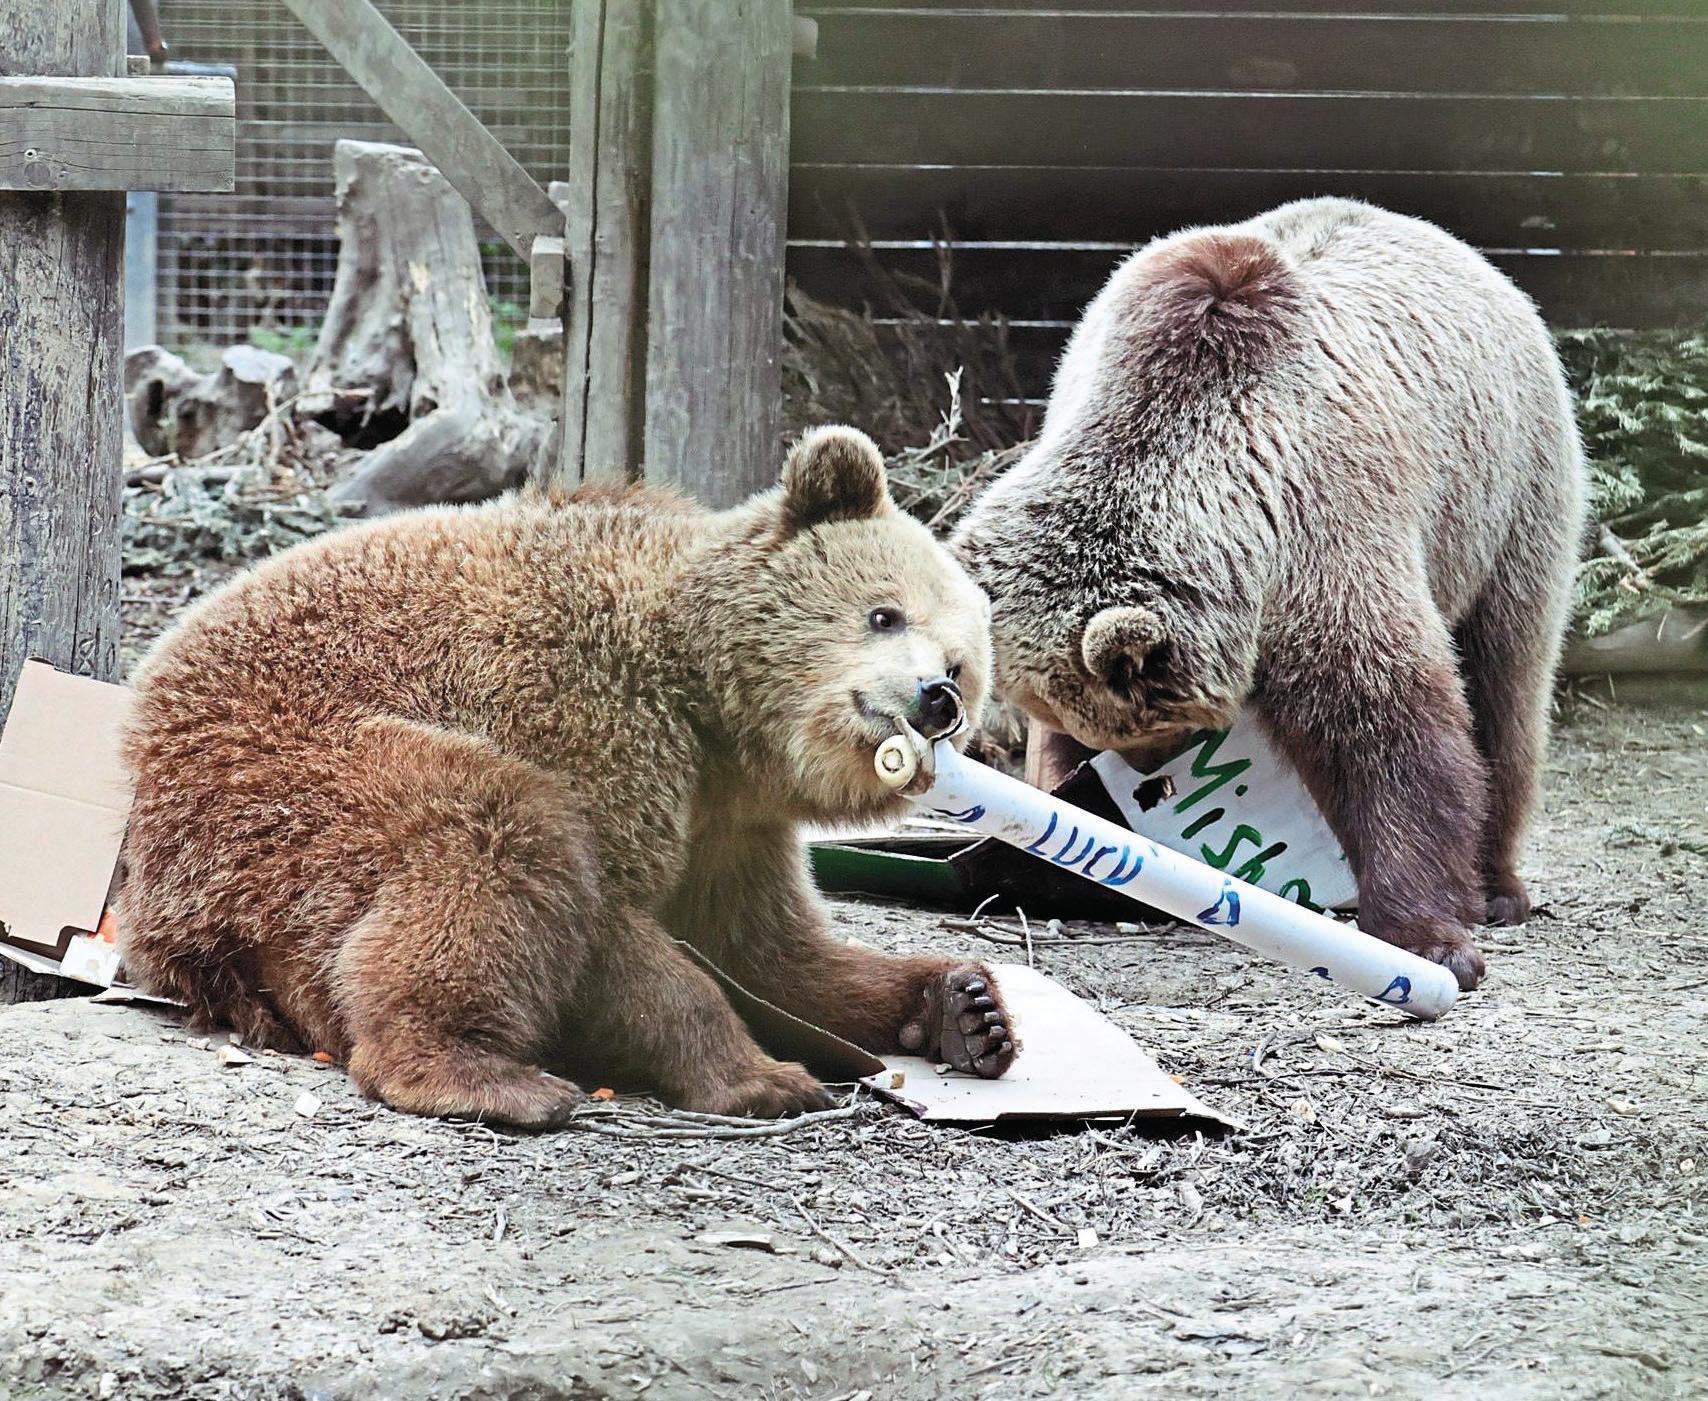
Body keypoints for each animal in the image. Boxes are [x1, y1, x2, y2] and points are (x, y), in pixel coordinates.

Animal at [116, 426, 1016, 1127]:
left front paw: (964, 1006)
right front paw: (763, 1076)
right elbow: (617, 924)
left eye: (961, 666)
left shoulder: (731, 826)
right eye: (883, 612)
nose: (934, 697)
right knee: (494, 834)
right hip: (280, 774)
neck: (712, 715)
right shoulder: (582, 709)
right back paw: (485, 1074)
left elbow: (769, 948)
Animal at [951, 198, 1588, 992]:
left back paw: (1499, 885)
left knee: (1506, 679)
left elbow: (1388, 728)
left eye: (1145, 729)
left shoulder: (1324, 521)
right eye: (1097, 730)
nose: (1142, 781)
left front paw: (1429, 937)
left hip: (1506, 495)